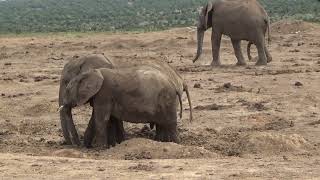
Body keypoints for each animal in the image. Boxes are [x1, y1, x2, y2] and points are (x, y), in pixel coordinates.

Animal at [59, 65, 192, 147]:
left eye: (68, 90)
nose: (77, 145)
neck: (92, 72)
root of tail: (174, 85)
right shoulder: (101, 97)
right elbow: (95, 119)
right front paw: (88, 147)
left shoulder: (104, 94)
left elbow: (101, 119)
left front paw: (100, 148)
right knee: (162, 124)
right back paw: (159, 142)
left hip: (166, 100)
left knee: (170, 124)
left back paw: (176, 143)